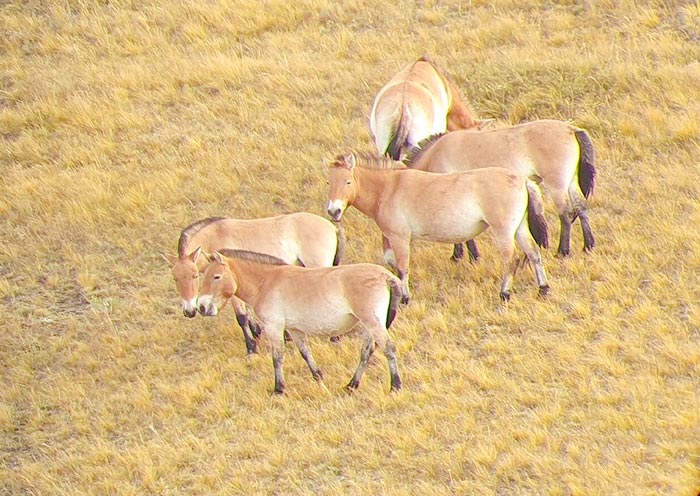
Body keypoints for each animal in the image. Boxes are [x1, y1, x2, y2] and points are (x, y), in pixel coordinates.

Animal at [164, 213, 343, 354]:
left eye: (194, 276)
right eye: (175, 278)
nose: (189, 311)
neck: (215, 236)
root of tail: (332, 228)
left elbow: (241, 317)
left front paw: (251, 348)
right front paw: (258, 333)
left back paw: (335, 337)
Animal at [197, 249, 404, 394]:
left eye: (216, 276)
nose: (201, 307)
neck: (266, 282)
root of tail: (387, 276)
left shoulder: (274, 327)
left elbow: (277, 357)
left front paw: (279, 389)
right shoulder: (295, 330)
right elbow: (305, 353)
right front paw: (318, 377)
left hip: (373, 322)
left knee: (388, 348)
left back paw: (395, 386)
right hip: (370, 325)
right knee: (367, 351)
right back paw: (352, 385)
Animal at [326, 152, 550, 302]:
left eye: (347, 182)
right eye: (329, 182)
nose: (333, 211)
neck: (389, 188)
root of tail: (521, 180)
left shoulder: (399, 237)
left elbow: (402, 266)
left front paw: (405, 298)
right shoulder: (390, 237)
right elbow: (391, 261)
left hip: (503, 231)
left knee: (511, 259)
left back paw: (504, 293)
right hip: (519, 228)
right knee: (533, 254)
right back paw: (543, 289)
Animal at [404, 119, 596, 260]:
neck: (435, 154)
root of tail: (571, 130)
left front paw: (464, 256)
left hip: (557, 185)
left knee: (565, 214)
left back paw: (562, 251)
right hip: (570, 182)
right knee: (581, 207)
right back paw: (588, 245)